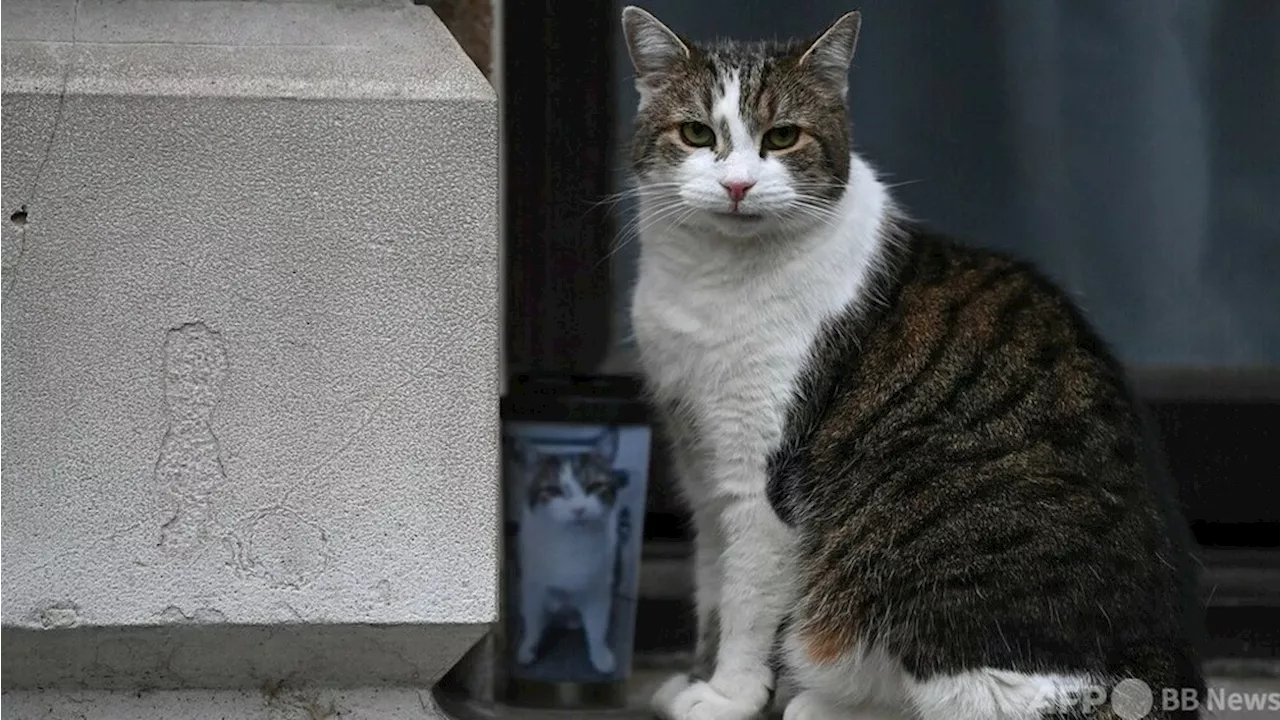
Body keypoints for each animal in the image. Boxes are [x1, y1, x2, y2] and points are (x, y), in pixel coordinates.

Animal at [514, 427, 624, 676]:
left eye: (594, 486)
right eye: (554, 491)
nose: (579, 509)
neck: (572, 541)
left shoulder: (598, 591)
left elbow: (597, 627)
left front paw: (600, 655)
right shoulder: (534, 589)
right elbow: (534, 624)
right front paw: (529, 648)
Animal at [624, 7, 1203, 717]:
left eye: (783, 137)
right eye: (697, 133)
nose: (737, 185)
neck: (710, 280)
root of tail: (1163, 669)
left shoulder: (757, 479)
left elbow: (745, 603)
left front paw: (727, 696)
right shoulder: (702, 469)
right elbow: (712, 587)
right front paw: (697, 677)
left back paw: (815, 703)